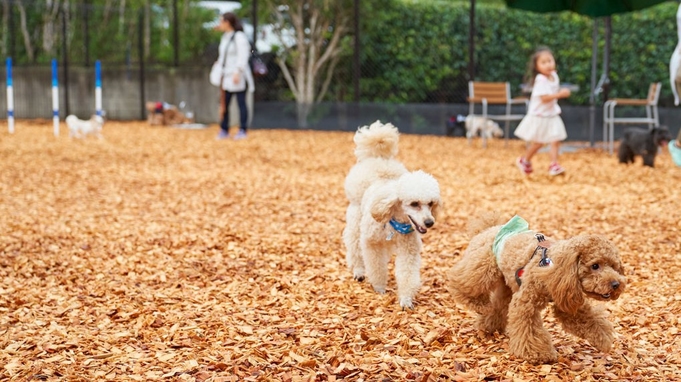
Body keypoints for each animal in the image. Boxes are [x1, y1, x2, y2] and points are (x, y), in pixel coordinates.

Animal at [346, 121, 440, 308]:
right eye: (414, 203)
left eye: (431, 203)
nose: (429, 222)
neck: (394, 223)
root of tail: (377, 158)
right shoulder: (371, 244)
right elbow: (376, 266)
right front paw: (379, 288)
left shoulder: (408, 250)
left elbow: (407, 273)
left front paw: (406, 299)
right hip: (355, 218)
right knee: (354, 246)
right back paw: (359, 271)